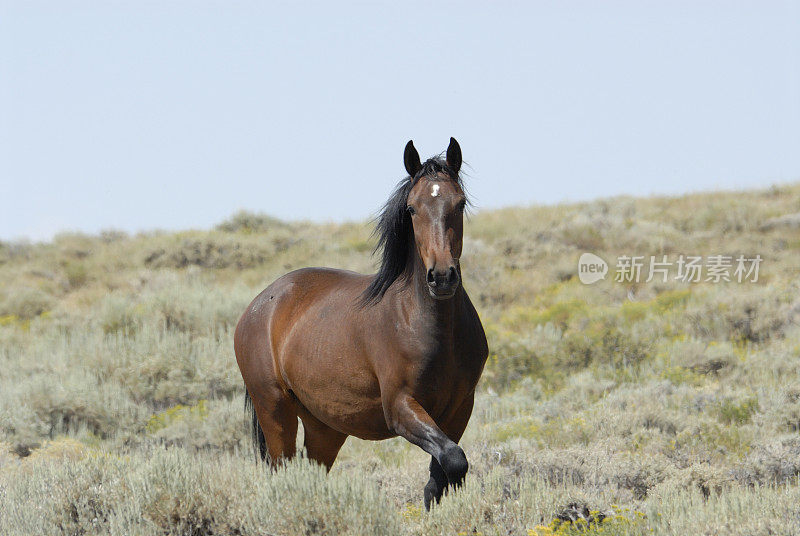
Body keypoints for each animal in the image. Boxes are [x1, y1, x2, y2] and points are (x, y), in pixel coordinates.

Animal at [233, 136, 488, 508]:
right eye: (412, 208)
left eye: (460, 203)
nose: (441, 277)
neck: (426, 324)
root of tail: (258, 306)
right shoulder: (400, 408)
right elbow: (452, 461)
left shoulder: (459, 409)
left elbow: (443, 472)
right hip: (275, 410)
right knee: (282, 470)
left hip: (325, 427)